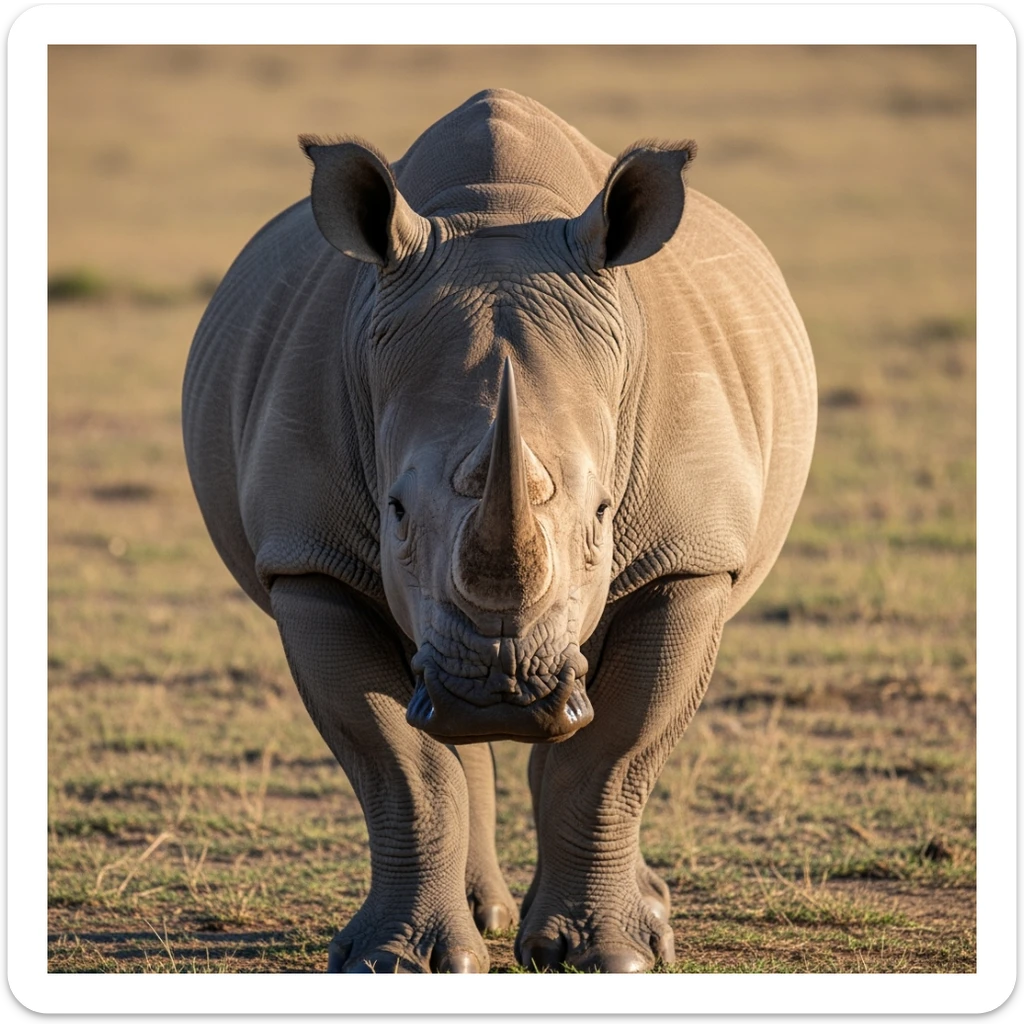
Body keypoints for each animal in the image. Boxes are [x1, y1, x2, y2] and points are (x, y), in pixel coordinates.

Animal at [183, 89, 816, 973]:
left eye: (604, 513)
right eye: (395, 512)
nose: (499, 690)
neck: (500, 215)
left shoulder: (690, 560)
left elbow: (616, 754)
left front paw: (607, 958)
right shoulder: (309, 562)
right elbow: (402, 766)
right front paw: (397, 961)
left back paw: (643, 916)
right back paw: (485, 913)